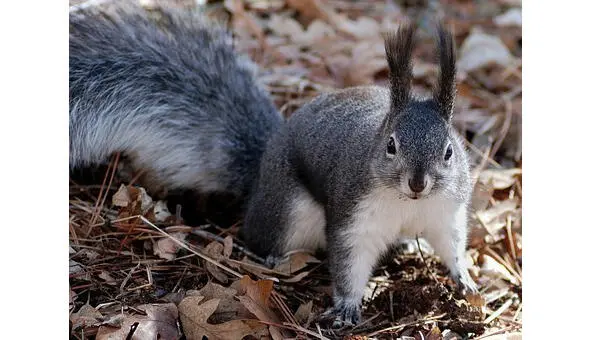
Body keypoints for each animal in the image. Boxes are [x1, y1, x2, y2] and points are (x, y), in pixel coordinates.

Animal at [240, 25, 480, 326]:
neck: (408, 202)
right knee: (259, 234)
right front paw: (347, 306)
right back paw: (271, 257)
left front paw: (465, 278)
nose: (417, 183)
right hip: (285, 210)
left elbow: (452, 245)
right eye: (391, 145)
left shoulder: (446, 213)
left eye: (449, 151)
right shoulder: (355, 217)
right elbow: (350, 262)